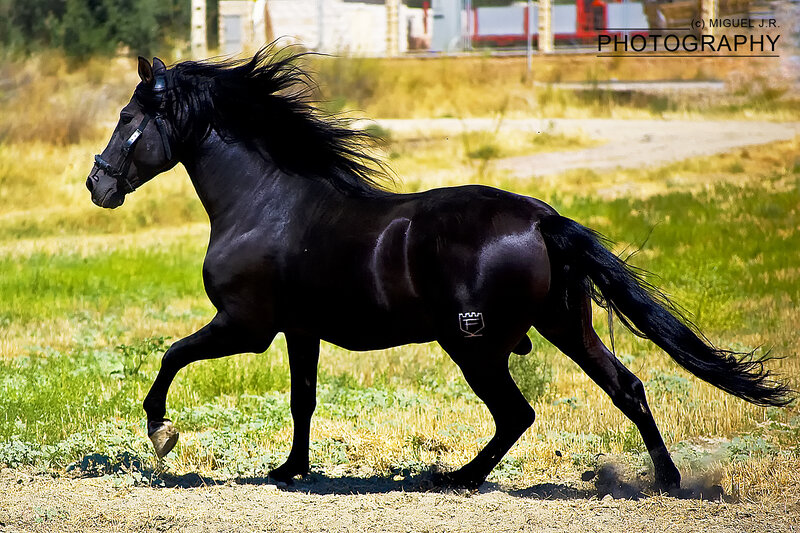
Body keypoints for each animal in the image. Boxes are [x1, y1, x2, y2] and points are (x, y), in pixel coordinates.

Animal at [86, 49, 792, 490]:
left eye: (127, 119)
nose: (98, 185)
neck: (264, 204)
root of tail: (541, 219)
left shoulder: (244, 326)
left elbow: (171, 357)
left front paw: (162, 434)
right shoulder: (300, 331)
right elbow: (302, 398)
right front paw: (290, 470)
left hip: (473, 344)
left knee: (516, 413)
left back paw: (458, 478)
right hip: (566, 327)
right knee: (627, 387)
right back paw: (667, 482)